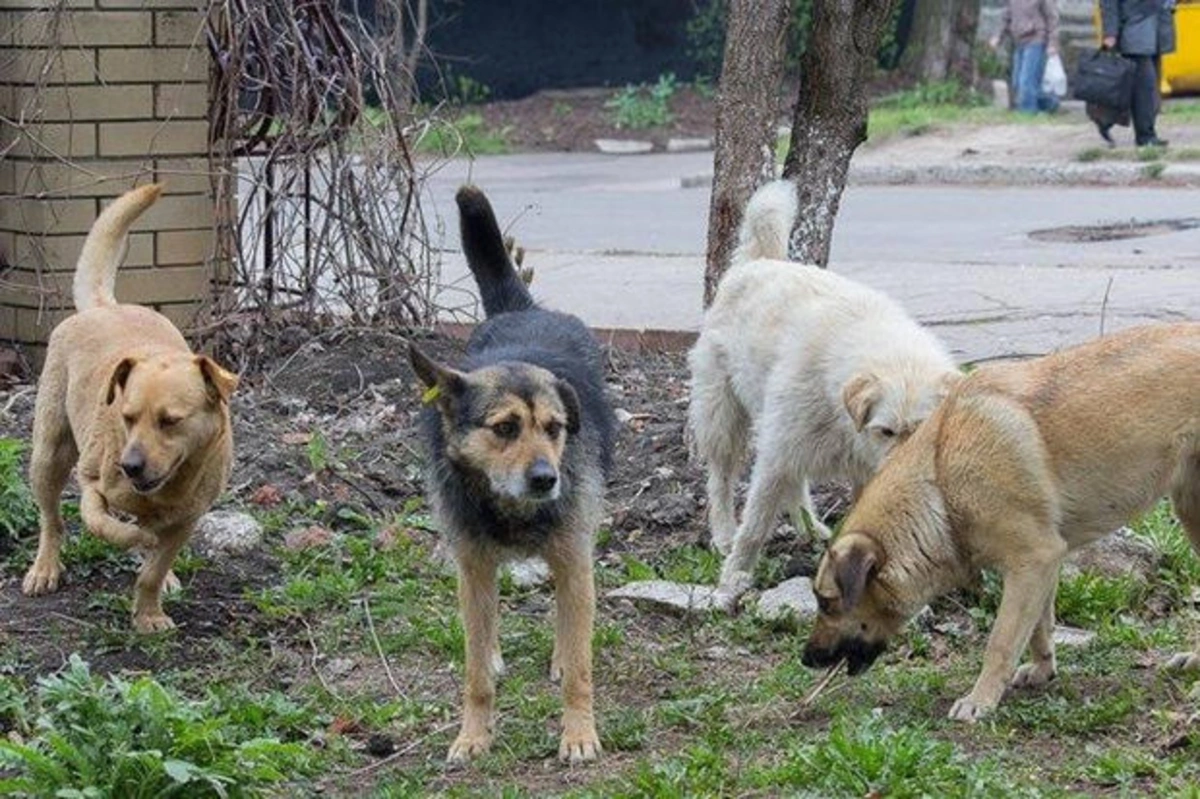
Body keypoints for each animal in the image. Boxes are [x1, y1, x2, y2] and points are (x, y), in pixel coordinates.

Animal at [412, 183, 619, 763]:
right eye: (504, 428)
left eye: (554, 428)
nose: (547, 479)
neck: (511, 508)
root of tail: (523, 309)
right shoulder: (474, 567)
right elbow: (475, 672)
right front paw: (473, 734)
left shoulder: (574, 560)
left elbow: (582, 667)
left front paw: (579, 734)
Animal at [691, 176, 960, 597]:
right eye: (886, 431)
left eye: (922, 431)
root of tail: (758, 261)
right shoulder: (776, 454)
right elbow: (755, 525)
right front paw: (735, 574)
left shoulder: (863, 471)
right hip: (724, 417)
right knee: (721, 479)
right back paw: (722, 534)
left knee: (795, 483)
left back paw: (809, 527)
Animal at [796, 321, 1200, 719]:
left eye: (826, 603)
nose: (806, 658)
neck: (941, 480)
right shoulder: (1042, 567)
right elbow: (1039, 629)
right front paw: (1042, 670)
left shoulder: (1031, 562)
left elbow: (1001, 641)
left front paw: (981, 699)